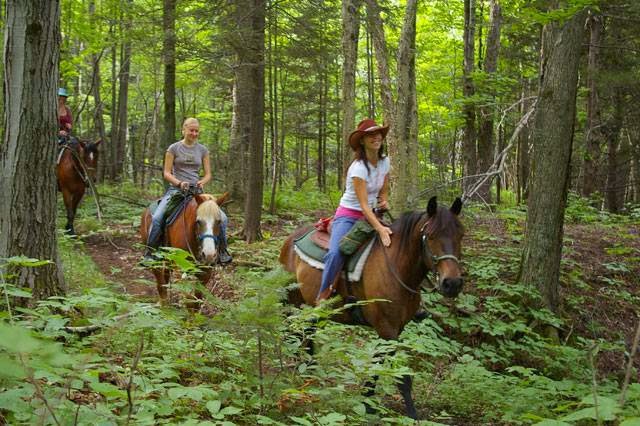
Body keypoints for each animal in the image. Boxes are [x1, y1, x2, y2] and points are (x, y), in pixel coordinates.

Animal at [280, 196, 464, 420]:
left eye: (460, 234)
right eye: (430, 236)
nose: (452, 283)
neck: (397, 267)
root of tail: (291, 239)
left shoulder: (394, 329)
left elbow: (377, 365)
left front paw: (366, 403)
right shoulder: (387, 329)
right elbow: (402, 378)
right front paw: (413, 416)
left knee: (307, 334)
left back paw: (308, 370)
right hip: (291, 302)